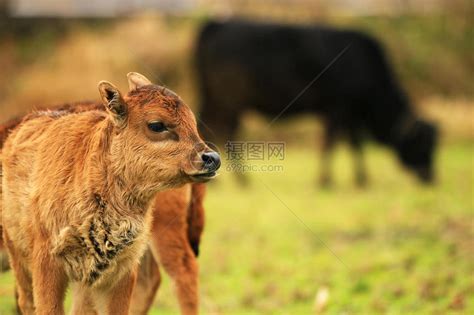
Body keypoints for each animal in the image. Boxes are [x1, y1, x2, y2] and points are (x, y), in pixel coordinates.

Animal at [195, 19, 436, 186]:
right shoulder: (338, 108)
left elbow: (355, 143)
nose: (431, 179)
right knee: (228, 133)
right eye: (423, 144)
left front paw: (361, 179)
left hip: (216, 99)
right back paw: (242, 180)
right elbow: (331, 142)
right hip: (229, 102)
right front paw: (326, 181)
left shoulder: (349, 114)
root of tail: (217, 24)